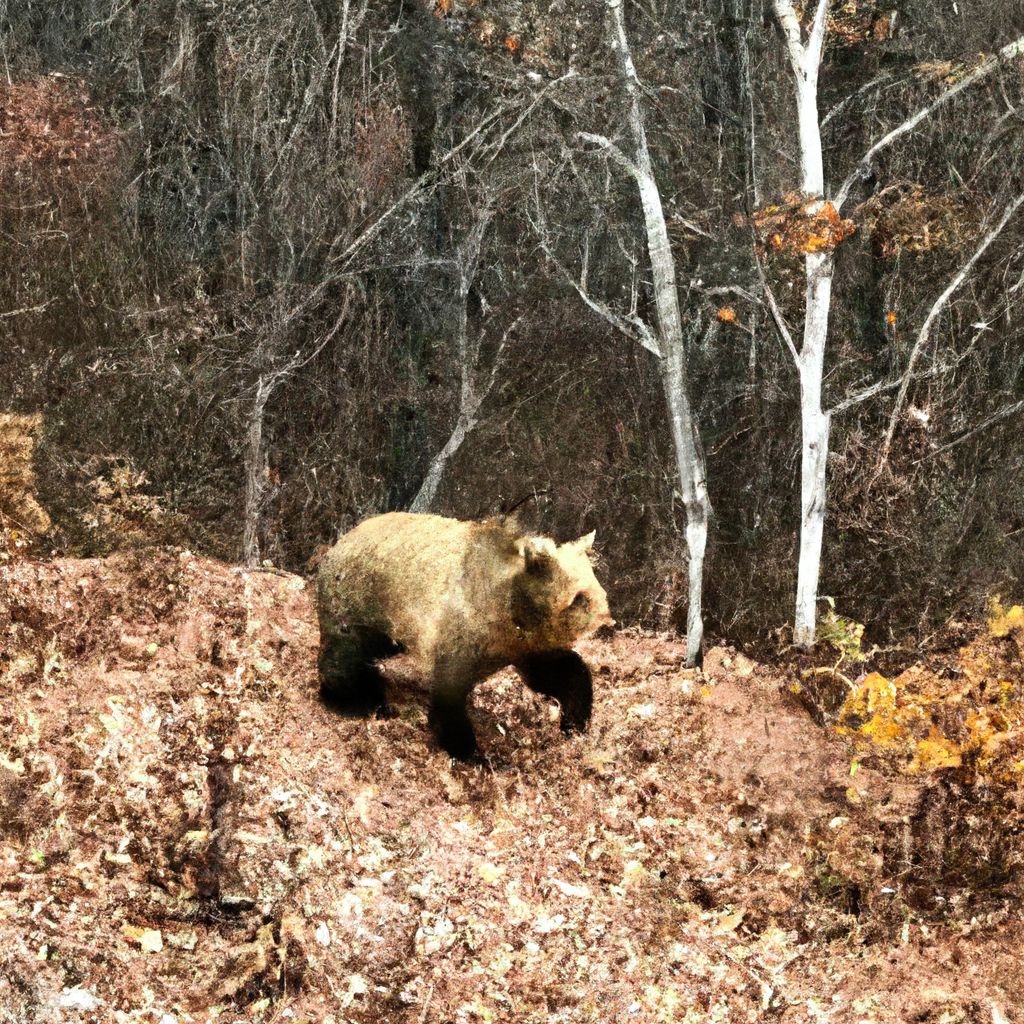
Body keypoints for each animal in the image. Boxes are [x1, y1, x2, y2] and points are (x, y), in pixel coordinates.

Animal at [315, 512, 610, 761]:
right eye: (579, 598)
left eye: (597, 587)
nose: (607, 617)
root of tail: (335, 546)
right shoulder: (464, 628)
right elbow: (450, 689)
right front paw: (472, 751)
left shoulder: (523, 645)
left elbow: (560, 673)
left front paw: (575, 723)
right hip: (362, 602)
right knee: (346, 656)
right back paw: (360, 698)